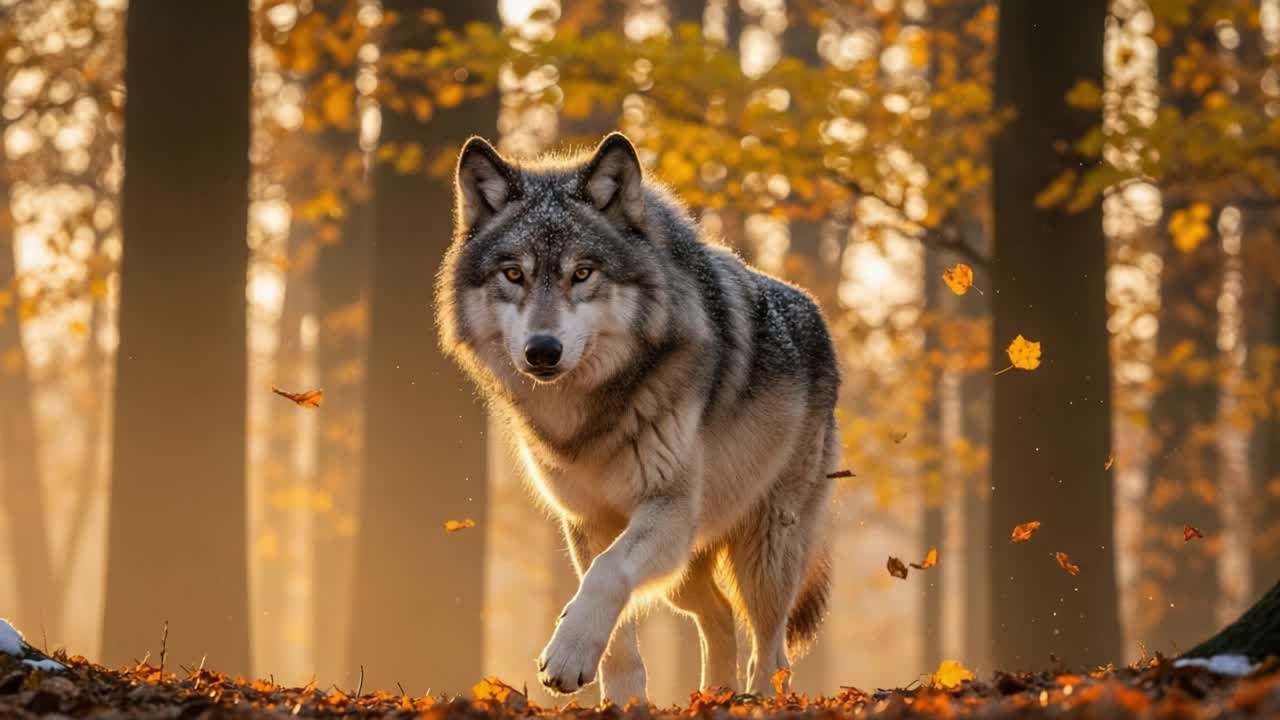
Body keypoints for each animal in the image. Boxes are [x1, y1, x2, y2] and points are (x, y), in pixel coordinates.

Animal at [436, 132, 841, 702]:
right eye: (514, 274)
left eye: (582, 273)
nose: (543, 350)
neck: (591, 413)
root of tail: (814, 310)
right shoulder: (587, 520)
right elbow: (612, 614)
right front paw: (622, 697)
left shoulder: (666, 508)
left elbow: (608, 575)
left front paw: (567, 652)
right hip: (690, 570)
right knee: (718, 617)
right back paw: (712, 699)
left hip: (764, 552)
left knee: (771, 647)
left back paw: (757, 701)